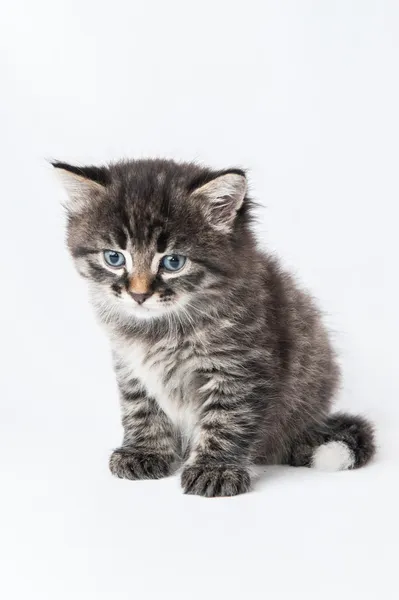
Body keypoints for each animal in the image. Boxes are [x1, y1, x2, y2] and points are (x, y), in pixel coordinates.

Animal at [52, 158, 376, 496]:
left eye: (173, 262)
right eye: (114, 258)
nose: (138, 295)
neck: (160, 327)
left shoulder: (239, 368)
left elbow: (226, 419)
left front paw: (215, 469)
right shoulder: (130, 365)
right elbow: (141, 408)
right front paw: (145, 451)